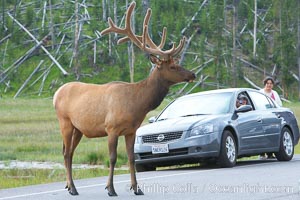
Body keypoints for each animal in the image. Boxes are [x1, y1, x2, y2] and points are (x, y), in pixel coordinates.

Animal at [53, 1, 196, 197]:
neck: (137, 103)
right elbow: (113, 158)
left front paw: (137, 188)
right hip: (65, 121)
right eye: (173, 66)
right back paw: (73, 188)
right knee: (67, 153)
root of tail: (55, 94)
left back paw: (69, 186)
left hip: (78, 128)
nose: (193, 74)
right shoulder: (111, 128)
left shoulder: (131, 131)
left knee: (68, 152)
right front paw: (110, 189)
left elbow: (131, 158)